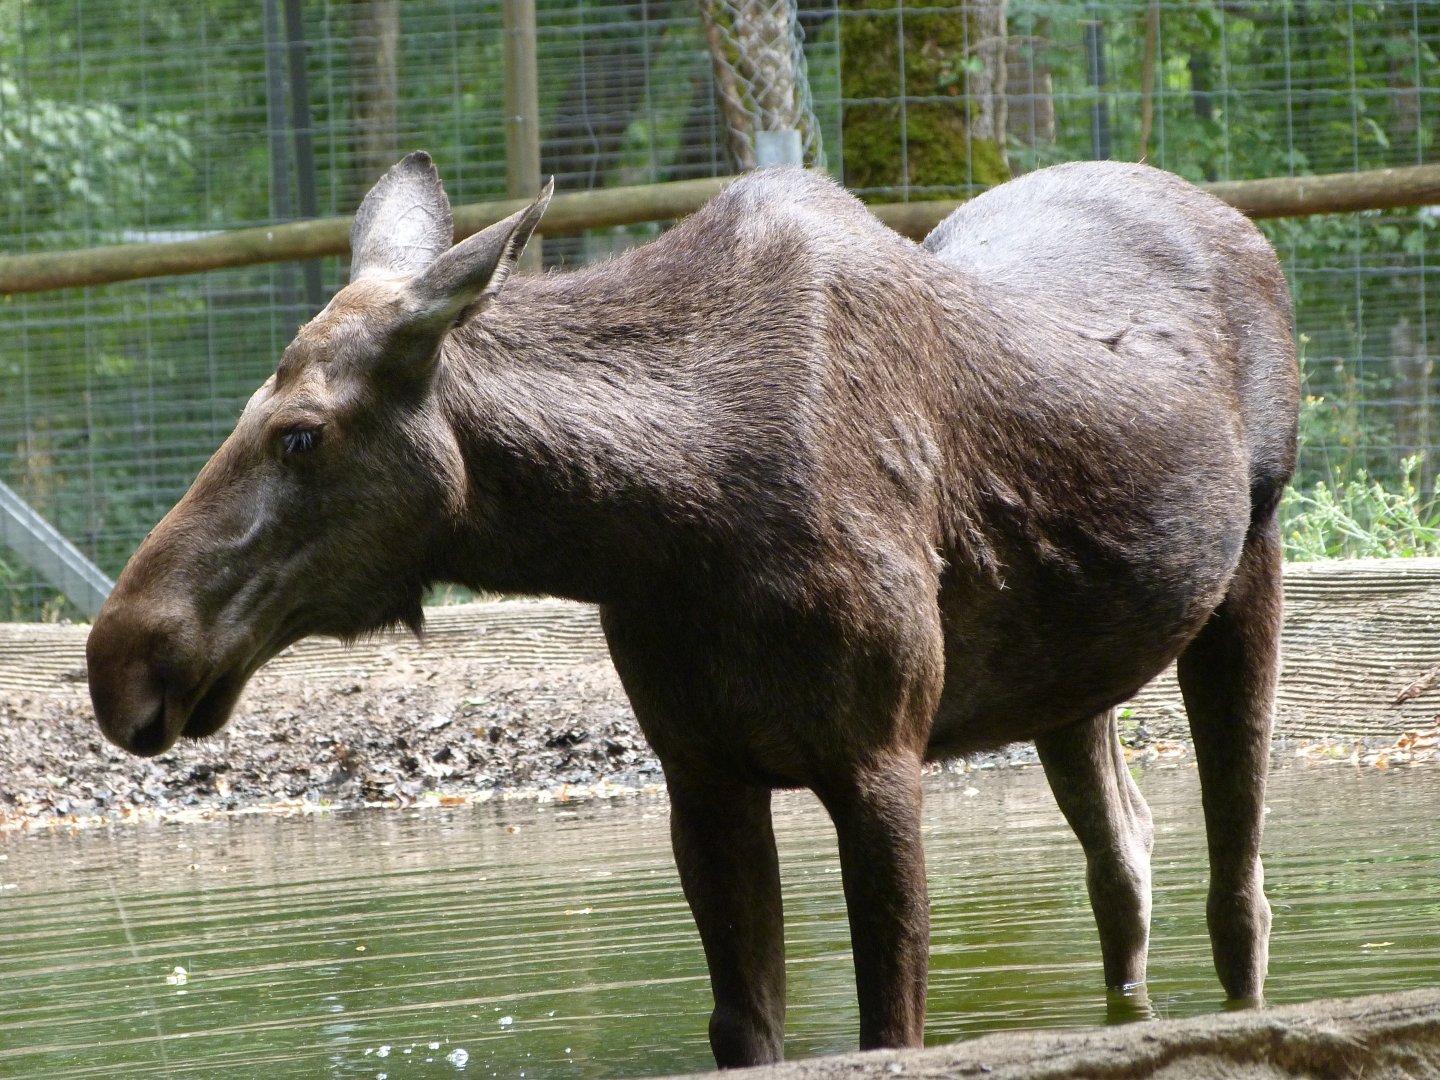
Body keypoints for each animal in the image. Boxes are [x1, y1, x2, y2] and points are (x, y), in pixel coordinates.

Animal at [88, 151, 1299, 1068]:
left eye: (299, 434)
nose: (123, 658)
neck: (668, 521)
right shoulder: (701, 769)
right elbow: (744, 1026)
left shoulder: (879, 754)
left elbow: (889, 1025)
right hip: (1071, 672)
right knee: (1125, 855)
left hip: (1253, 561)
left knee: (1237, 887)